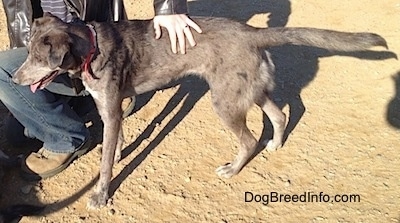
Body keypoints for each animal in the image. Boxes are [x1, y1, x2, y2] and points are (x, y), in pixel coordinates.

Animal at [13, 13, 388, 209]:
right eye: (28, 52)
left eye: (37, 57)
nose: (14, 78)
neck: (90, 47)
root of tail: (253, 33)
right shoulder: (111, 110)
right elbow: (113, 144)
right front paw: (117, 154)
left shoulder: (113, 108)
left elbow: (104, 164)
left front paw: (100, 194)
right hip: (248, 89)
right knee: (279, 114)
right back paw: (277, 143)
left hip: (224, 100)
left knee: (249, 139)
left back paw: (234, 169)